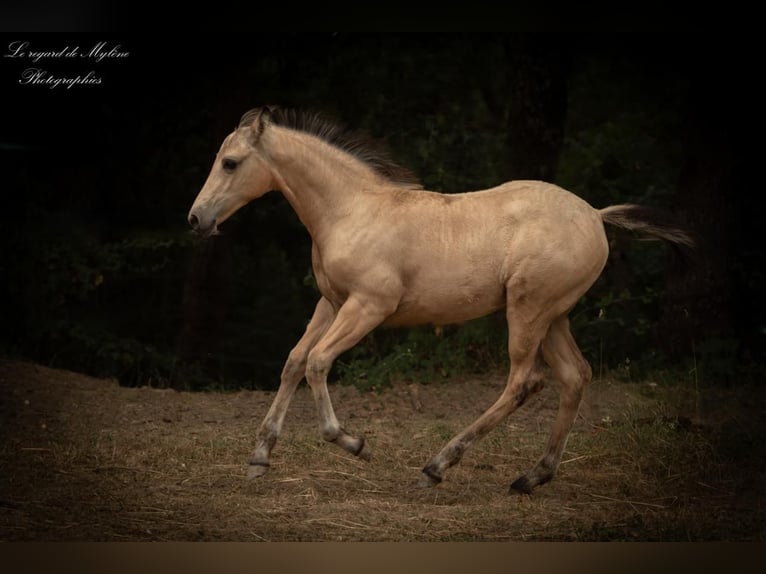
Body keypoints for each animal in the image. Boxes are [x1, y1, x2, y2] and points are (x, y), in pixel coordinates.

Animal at [187, 106, 695, 494]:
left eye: (230, 162)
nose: (196, 219)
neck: (351, 210)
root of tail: (594, 213)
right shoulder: (331, 302)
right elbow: (294, 361)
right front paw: (259, 457)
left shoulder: (369, 306)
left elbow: (317, 362)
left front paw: (352, 443)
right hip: (555, 316)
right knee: (574, 376)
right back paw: (531, 477)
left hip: (528, 310)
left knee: (524, 381)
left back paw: (437, 465)